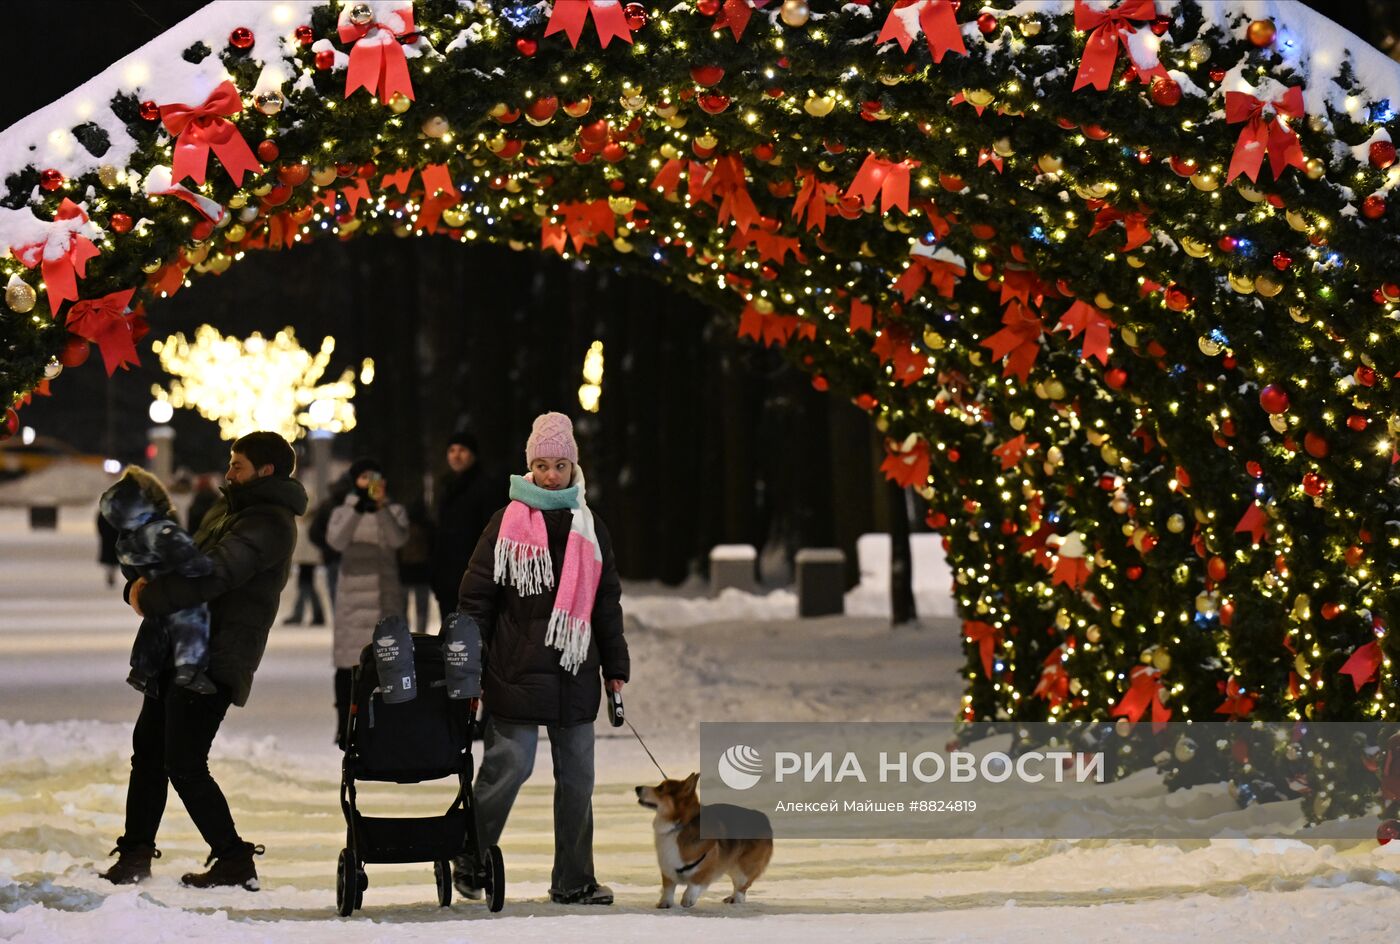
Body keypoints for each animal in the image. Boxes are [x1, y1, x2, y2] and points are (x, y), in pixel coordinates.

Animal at [638, 767, 772, 907]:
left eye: (660, 789)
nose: (637, 788)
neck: (680, 824)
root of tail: (763, 818)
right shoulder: (667, 868)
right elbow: (668, 889)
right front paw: (665, 903)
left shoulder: (707, 867)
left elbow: (694, 885)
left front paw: (688, 899)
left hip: (743, 867)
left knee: (741, 886)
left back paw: (736, 899)